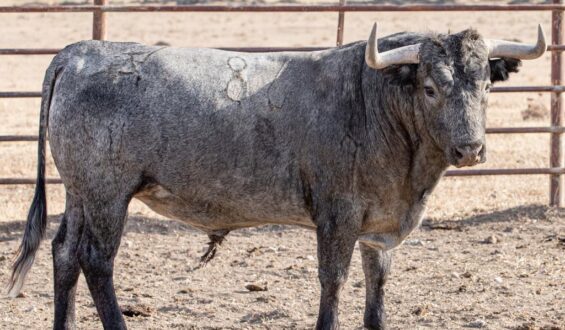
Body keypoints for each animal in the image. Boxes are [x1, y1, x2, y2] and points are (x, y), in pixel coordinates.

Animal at [8, 23, 544, 330]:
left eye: (486, 85)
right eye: (431, 87)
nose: (470, 149)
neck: (373, 100)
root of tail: (80, 51)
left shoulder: (379, 227)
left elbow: (376, 287)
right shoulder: (337, 216)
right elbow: (333, 282)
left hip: (79, 193)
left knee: (64, 253)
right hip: (107, 193)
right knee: (96, 260)